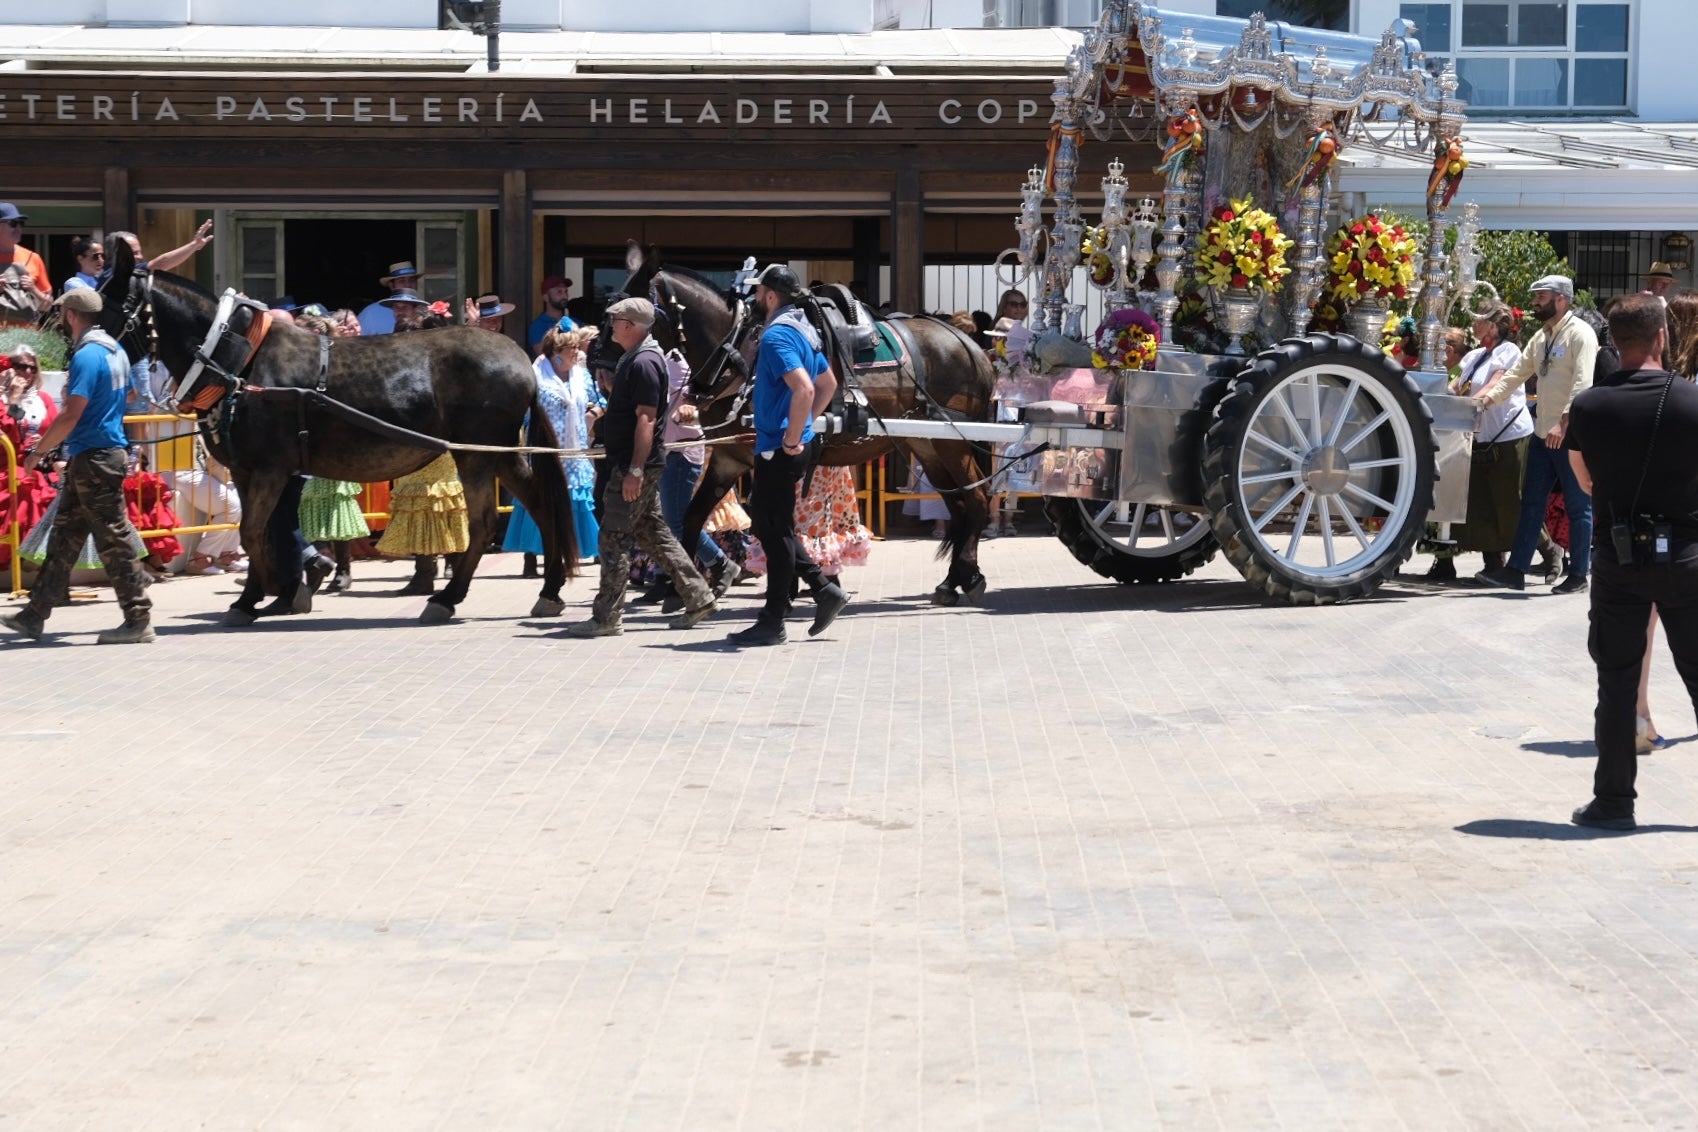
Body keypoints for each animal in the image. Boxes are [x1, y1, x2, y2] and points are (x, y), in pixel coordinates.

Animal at [96, 240, 580, 627]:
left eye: (104, 303)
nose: (80, 342)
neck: (239, 363)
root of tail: (522, 361)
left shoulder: (270, 469)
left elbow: (253, 532)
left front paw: (259, 596)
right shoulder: (249, 472)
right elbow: (264, 531)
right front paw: (270, 592)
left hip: (476, 454)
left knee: (482, 523)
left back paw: (447, 597)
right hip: (499, 451)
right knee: (541, 505)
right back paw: (549, 590)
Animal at [594, 244, 991, 607]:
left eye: (626, 315)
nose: (602, 370)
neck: (739, 356)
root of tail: (968, 344)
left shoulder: (766, 456)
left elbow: (766, 521)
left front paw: (799, 583)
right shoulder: (730, 457)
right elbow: (695, 517)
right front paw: (685, 589)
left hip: (952, 442)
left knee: (976, 499)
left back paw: (968, 577)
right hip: (926, 443)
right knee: (958, 504)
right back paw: (952, 580)